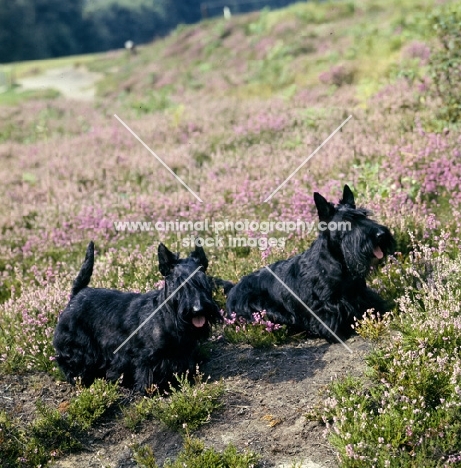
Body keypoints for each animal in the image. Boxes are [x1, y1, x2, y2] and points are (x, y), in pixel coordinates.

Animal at [52, 241, 221, 392]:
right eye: (178, 284)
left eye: (204, 281)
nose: (198, 309)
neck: (168, 316)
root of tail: (77, 294)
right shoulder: (146, 358)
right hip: (76, 346)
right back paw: (80, 379)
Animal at [225, 185, 394, 342]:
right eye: (347, 222)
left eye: (365, 215)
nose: (381, 235)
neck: (339, 263)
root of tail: (232, 289)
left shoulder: (362, 295)